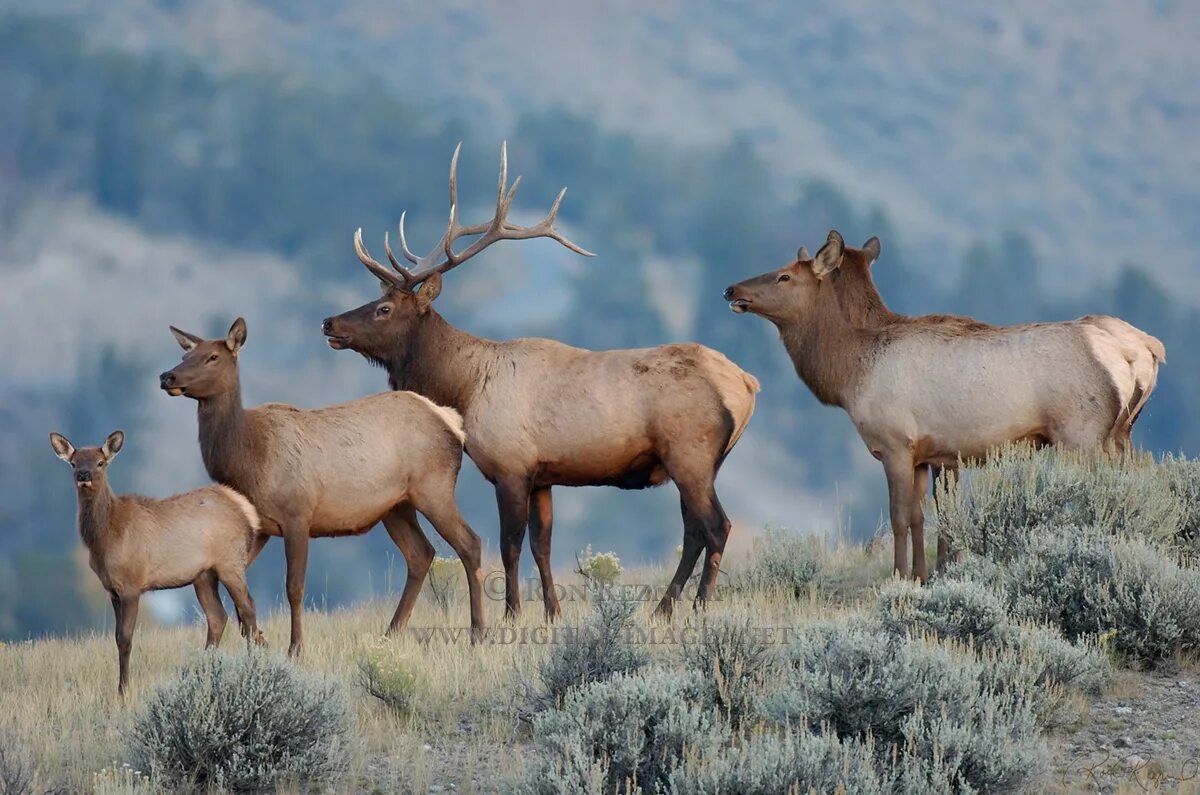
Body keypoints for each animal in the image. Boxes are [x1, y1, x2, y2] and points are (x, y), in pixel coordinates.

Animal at [49, 429, 262, 696]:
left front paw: (123, 691)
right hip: (203, 575)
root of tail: (247, 511)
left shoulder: (131, 584)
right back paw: (200, 672)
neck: (105, 539)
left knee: (247, 608)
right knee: (218, 617)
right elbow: (116, 638)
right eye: (73, 463)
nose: (83, 475)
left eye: (100, 462)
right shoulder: (112, 590)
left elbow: (125, 638)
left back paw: (251, 666)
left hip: (230, 562)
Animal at [162, 314, 484, 658]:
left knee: (470, 543)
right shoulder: (259, 527)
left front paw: (295, 648)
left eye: (212, 357)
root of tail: (451, 422)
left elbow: (293, 586)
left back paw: (477, 634)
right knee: (421, 553)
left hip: (434, 488)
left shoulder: (297, 514)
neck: (245, 461)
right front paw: (247, 643)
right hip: (396, 506)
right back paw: (388, 636)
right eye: (185, 355)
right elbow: (225, 588)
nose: (167, 376)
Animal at [324, 143, 758, 619]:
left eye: (384, 309)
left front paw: (512, 614)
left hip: (689, 452)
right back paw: (665, 607)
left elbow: (510, 546)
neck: (465, 391)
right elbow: (542, 546)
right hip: (705, 461)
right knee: (694, 530)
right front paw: (553, 612)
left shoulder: (510, 467)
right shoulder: (544, 476)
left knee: (716, 526)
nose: (329, 322)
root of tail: (747, 384)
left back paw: (699, 605)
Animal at [724, 230, 1166, 586]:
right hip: (1121, 435)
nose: (731, 290)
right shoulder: (930, 455)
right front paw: (922, 575)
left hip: (1082, 435)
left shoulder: (895, 445)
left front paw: (899, 577)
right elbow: (925, 517)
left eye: (784, 275)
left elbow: (900, 516)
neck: (851, 372)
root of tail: (1142, 349)